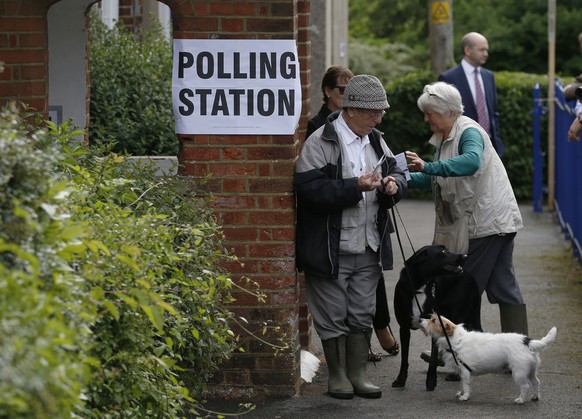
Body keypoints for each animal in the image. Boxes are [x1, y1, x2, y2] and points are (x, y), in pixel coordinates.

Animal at [392, 244, 484, 392]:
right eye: (444, 251)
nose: (465, 256)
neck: (419, 287)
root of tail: (469, 275)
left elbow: (433, 360)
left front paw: (431, 382)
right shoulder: (404, 327)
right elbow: (404, 358)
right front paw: (400, 380)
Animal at [422, 316, 560, 404]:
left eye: (433, 320)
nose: (420, 319)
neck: (456, 340)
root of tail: (527, 341)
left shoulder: (465, 371)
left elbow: (465, 385)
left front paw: (465, 396)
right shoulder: (462, 371)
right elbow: (462, 384)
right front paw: (461, 393)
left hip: (519, 372)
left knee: (525, 386)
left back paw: (520, 400)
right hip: (531, 370)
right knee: (536, 382)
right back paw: (535, 397)